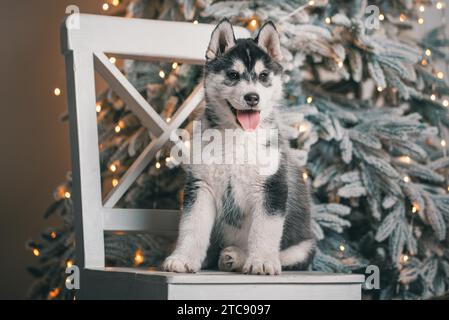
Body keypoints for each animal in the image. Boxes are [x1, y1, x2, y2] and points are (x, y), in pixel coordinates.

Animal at [162, 19, 316, 276]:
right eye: (233, 75)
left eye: (263, 75)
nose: (252, 97)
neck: (237, 136)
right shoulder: (201, 186)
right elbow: (192, 227)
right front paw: (183, 258)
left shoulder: (271, 188)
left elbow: (264, 230)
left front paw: (261, 261)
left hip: (304, 247)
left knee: (286, 255)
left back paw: (238, 257)